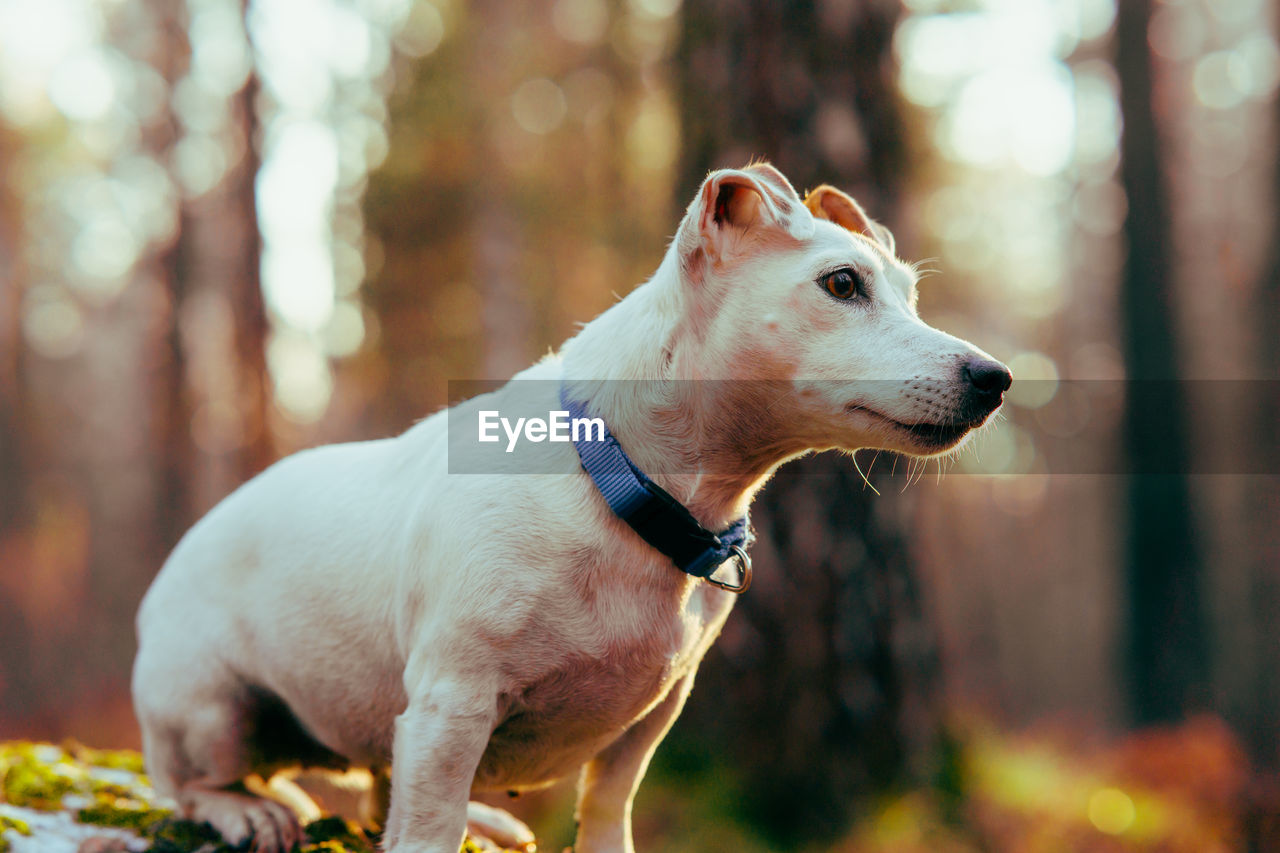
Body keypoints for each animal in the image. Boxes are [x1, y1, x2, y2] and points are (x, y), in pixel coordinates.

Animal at [129, 161, 1008, 850]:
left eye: (911, 295)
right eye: (841, 284)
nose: (995, 378)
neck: (627, 480)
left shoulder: (649, 719)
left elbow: (608, 809)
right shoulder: (450, 705)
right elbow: (427, 828)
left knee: (380, 794)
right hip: (210, 707)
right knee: (191, 783)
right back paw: (244, 810)